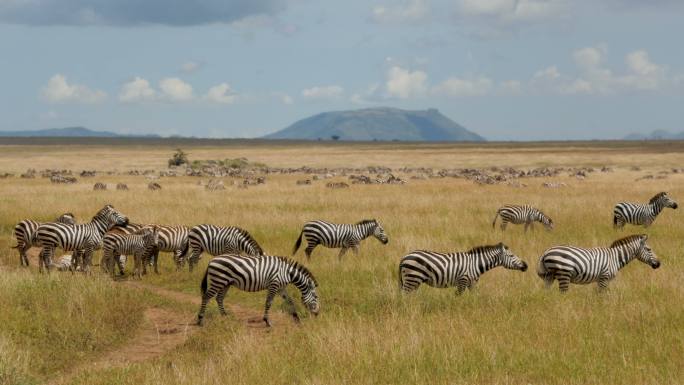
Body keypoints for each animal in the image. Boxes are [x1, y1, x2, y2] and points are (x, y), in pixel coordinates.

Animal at [398, 242, 528, 292]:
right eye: (511, 255)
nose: (526, 266)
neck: (476, 264)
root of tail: (404, 257)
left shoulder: (472, 283)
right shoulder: (463, 280)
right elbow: (458, 297)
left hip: (414, 280)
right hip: (412, 278)